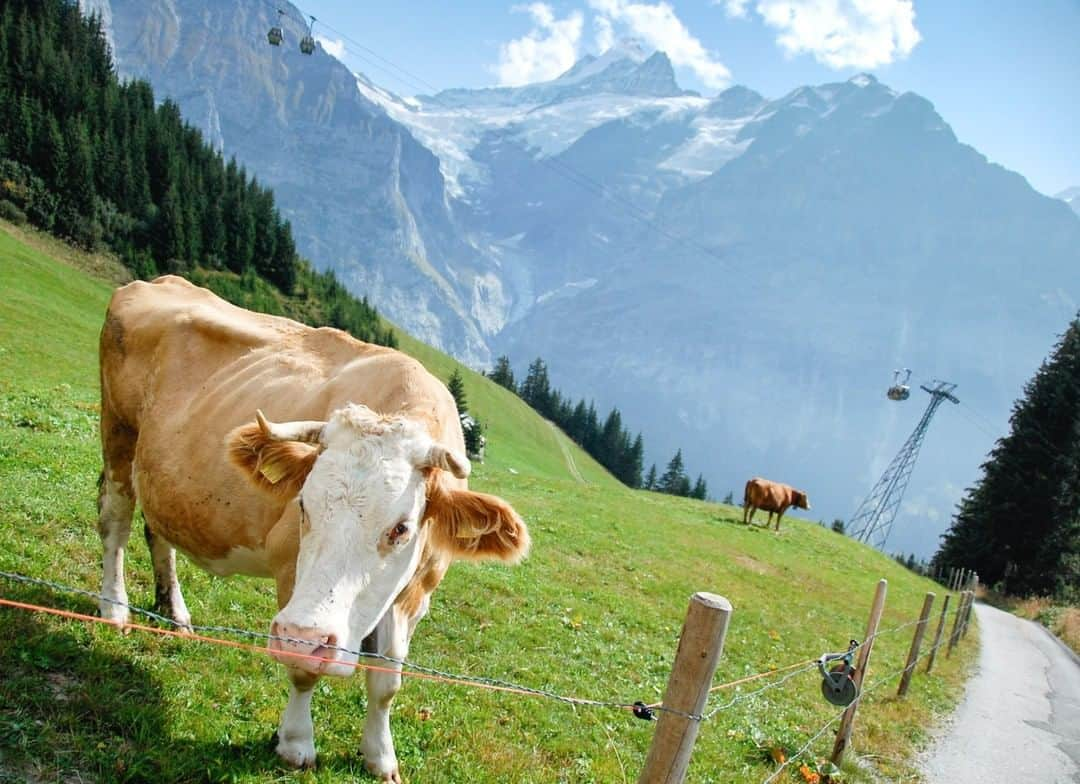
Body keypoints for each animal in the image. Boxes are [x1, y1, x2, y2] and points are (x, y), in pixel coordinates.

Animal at [97, 276, 527, 781]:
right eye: (303, 505)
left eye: (401, 528)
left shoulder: (417, 593)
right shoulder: (290, 574)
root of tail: (155, 281)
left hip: (161, 471)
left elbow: (388, 682)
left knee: (158, 528)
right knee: (115, 522)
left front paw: (381, 756)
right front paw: (296, 743)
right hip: (118, 434)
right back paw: (114, 609)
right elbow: (303, 670)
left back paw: (175, 612)